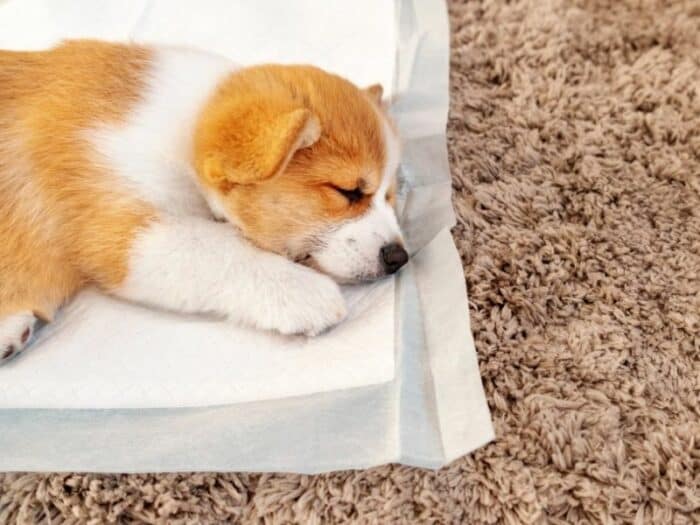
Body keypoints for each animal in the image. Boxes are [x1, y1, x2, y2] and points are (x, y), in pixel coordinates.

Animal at [0, 41, 408, 362]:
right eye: (348, 192)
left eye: (389, 195)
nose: (398, 258)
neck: (183, 129)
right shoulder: (121, 231)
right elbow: (218, 250)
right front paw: (304, 292)